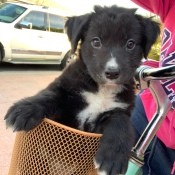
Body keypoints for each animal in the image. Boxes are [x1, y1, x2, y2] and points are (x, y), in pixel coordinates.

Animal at [4, 5, 159, 175]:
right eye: (96, 41)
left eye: (130, 44)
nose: (112, 73)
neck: (101, 89)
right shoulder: (63, 100)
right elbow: (49, 95)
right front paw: (24, 109)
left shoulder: (117, 111)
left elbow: (121, 121)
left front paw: (114, 156)